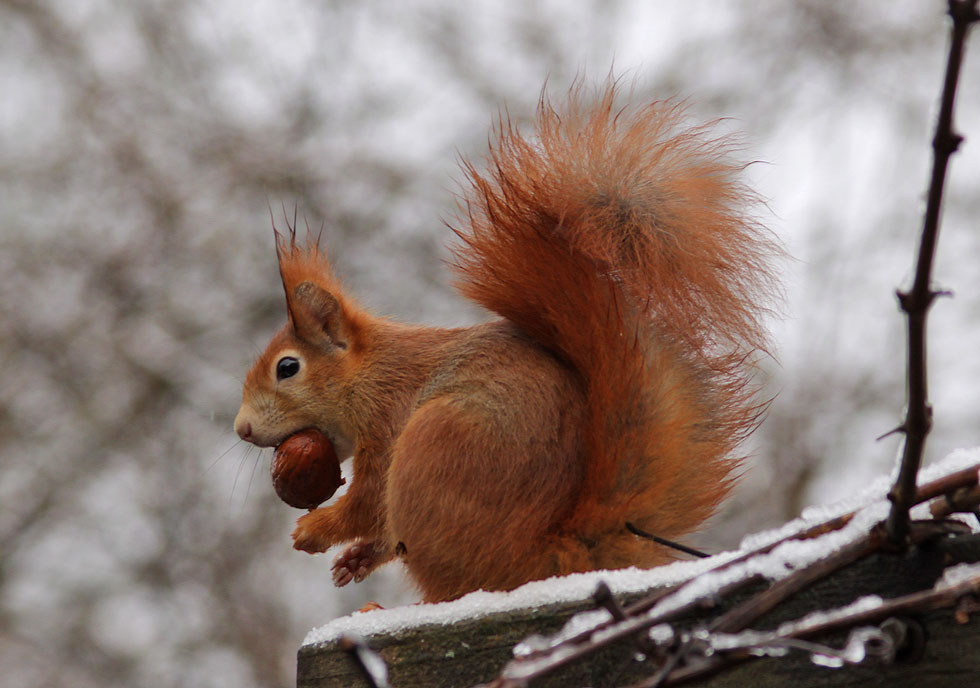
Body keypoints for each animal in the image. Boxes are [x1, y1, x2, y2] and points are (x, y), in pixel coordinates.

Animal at [234, 84, 776, 600]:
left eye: (287, 367)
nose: (241, 429)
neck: (370, 373)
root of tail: (551, 554)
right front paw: (353, 558)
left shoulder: (387, 420)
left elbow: (367, 501)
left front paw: (315, 530)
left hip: (434, 450)